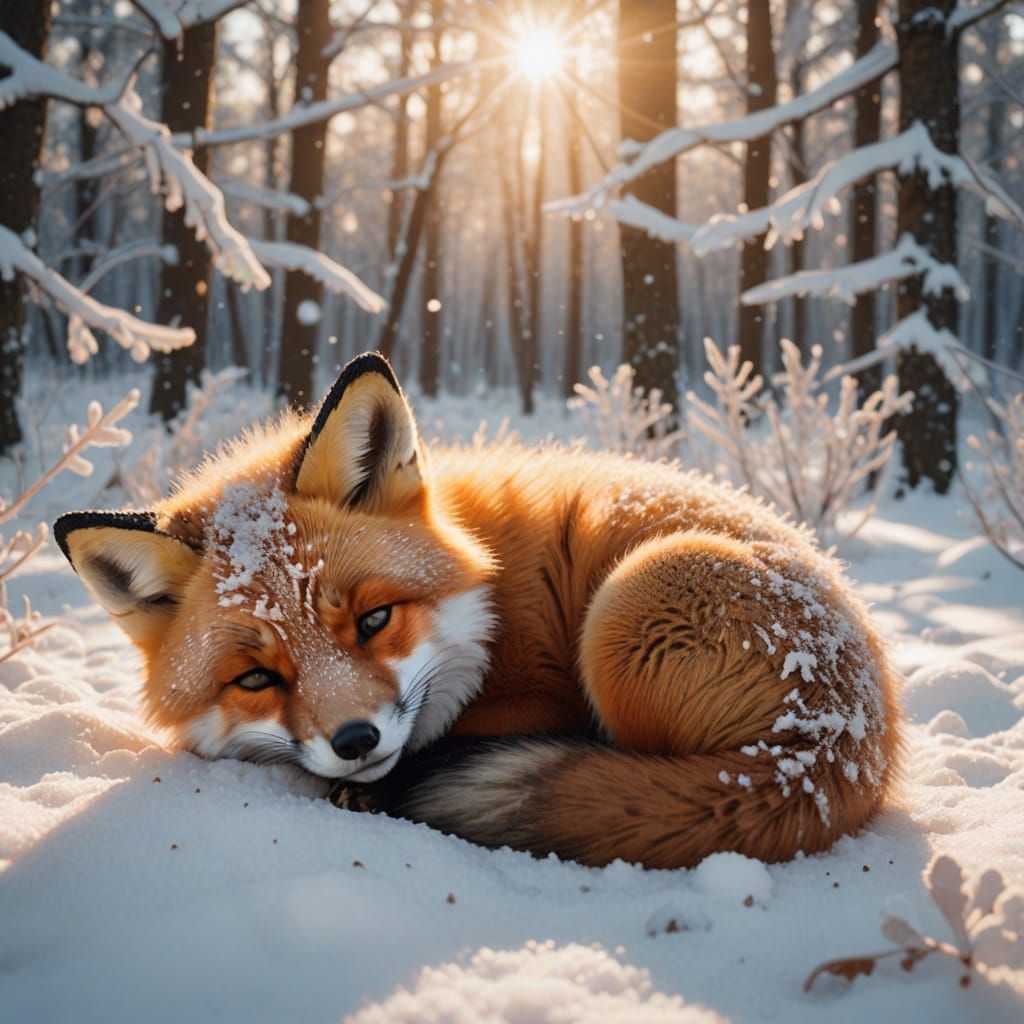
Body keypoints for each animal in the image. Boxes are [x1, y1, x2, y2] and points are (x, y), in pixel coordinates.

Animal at [55, 351, 901, 869]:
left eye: (374, 620)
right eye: (256, 680)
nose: (356, 742)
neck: (488, 592)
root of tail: (841, 748)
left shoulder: (538, 693)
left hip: (625, 609)